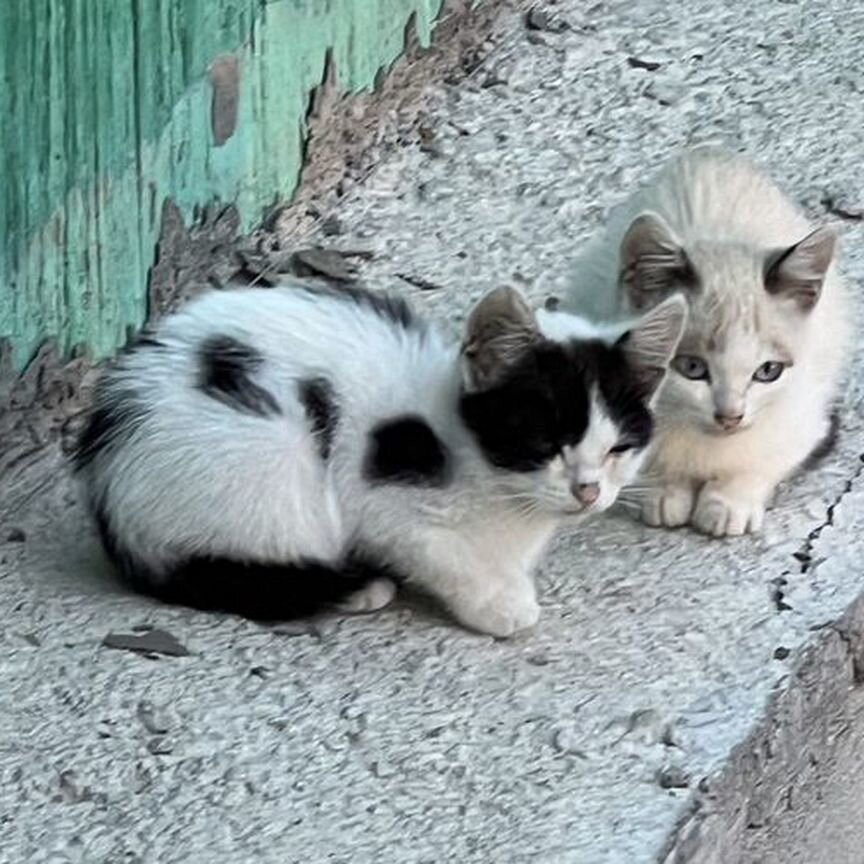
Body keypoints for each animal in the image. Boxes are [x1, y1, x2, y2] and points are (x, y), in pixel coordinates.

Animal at [72, 282, 680, 636]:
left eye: (619, 448)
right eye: (545, 443)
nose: (587, 491)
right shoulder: (381, 497)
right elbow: (438, 551)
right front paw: (500, 603)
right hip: (272, 462)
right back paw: (355, 586)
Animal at [568, 150, 852, 540]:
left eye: (768, 371)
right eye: (691, 367)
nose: (730, 417)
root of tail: (711, 155)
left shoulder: (807, 415)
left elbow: (769, 457)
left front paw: (729, 501)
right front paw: (663, 490)